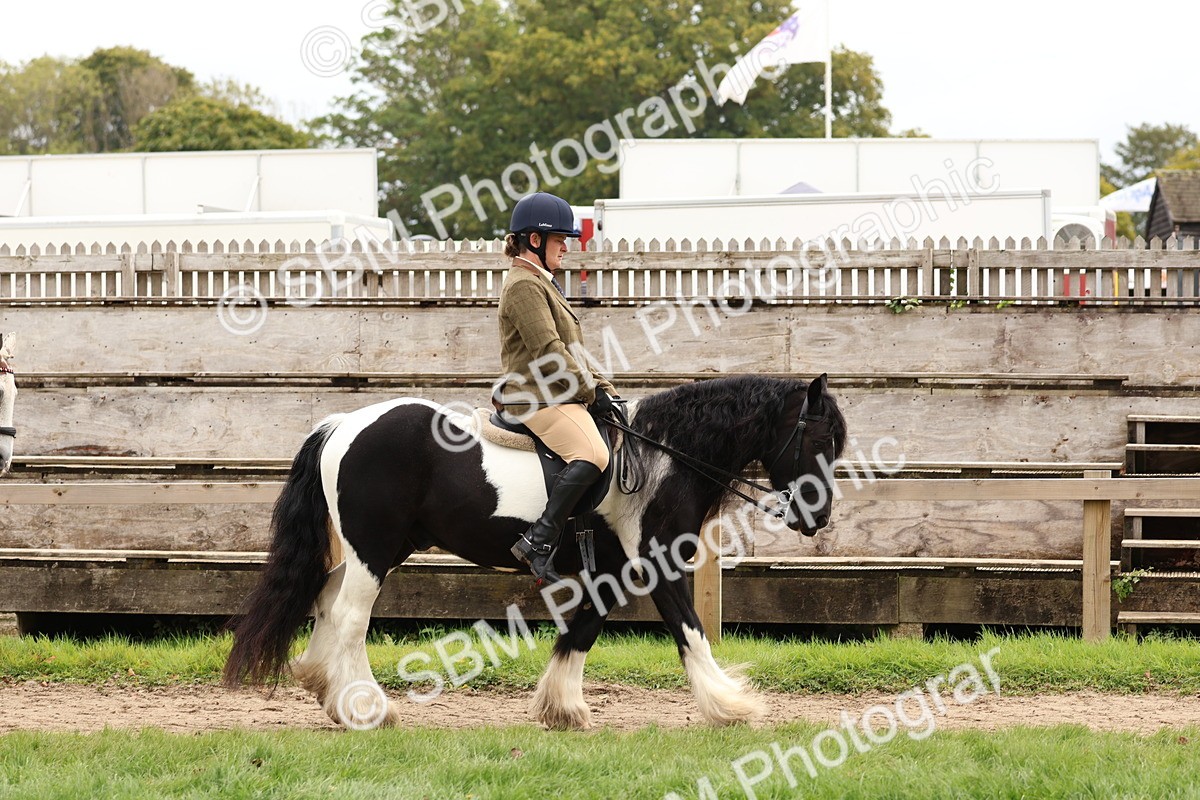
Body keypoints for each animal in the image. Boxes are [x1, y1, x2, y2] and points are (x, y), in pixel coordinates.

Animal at [223, 373, 847, 730]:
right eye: (820, 438)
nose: (818, 518)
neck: (663, 457)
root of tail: (342, 424)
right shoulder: (658, 563)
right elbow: (689, 630)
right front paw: (731, 705)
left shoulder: (615, 570)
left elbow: (583, 630)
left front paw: (561, 708)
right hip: (373, 552)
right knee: (352, 618)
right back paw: (368, 710)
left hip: (375, 552)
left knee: (327, 604)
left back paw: (325, 688)